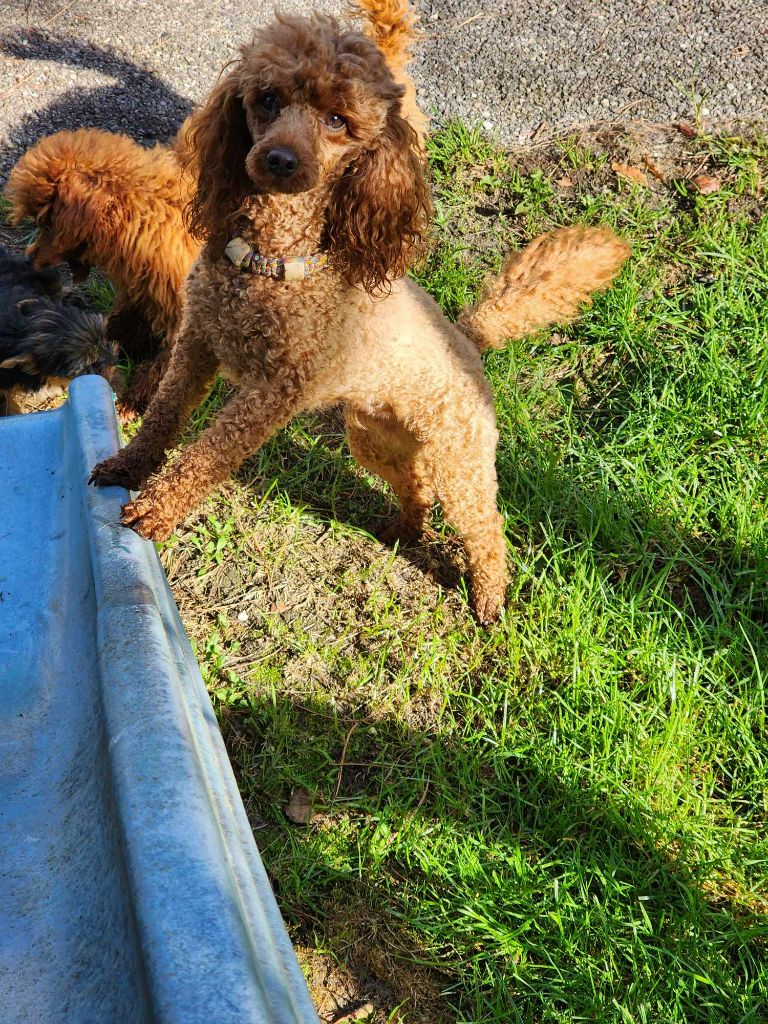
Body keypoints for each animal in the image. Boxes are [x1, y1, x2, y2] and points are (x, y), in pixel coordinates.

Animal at [90, 12, 630, 622]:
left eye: (337, 120)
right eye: (267, 100)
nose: (279, 160)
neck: (268, 260)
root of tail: (466, 336)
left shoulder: (273, 391)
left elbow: (207, 454)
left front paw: (155, 512)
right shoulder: (198, 343)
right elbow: (163, 416)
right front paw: (124, 468)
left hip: (461, 458)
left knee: (485, 526)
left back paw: (490, 598)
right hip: (376, 438)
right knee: (415, 486)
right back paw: (405, 531)